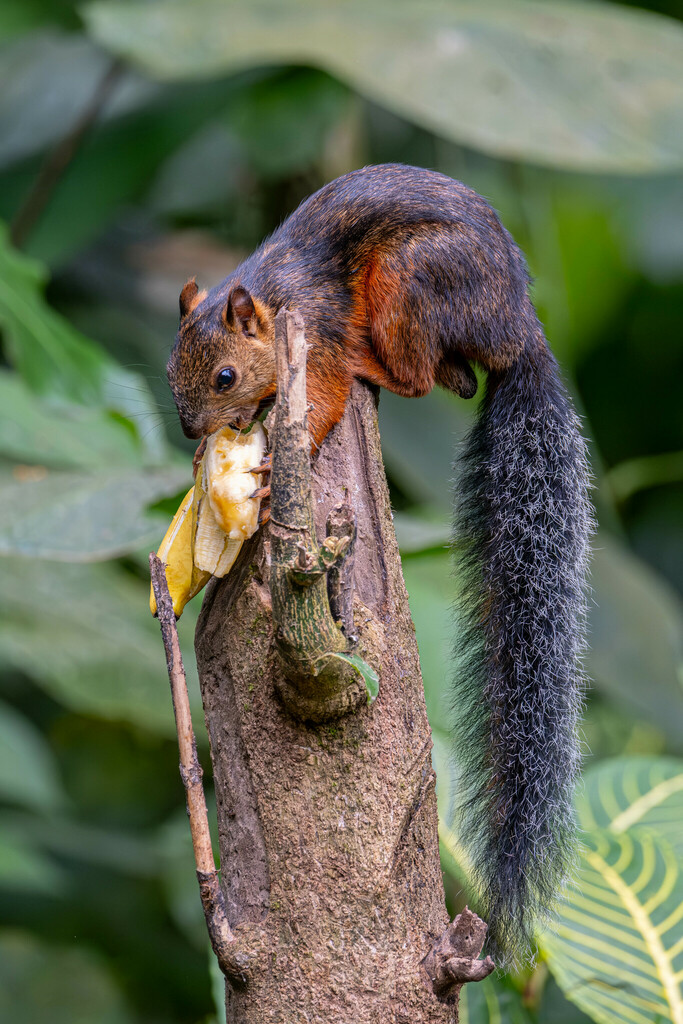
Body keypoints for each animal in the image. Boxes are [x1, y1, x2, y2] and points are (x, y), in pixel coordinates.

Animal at [165, 163, 593, 962]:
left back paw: (381, 370)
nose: (187, 431)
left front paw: (267, 473)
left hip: (412, 279)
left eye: (227, 377)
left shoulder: (318, 348)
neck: (270, 298)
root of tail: (518, 328)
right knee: (458, 381)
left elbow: (324, 402)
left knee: (425, 378)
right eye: (171, 370)